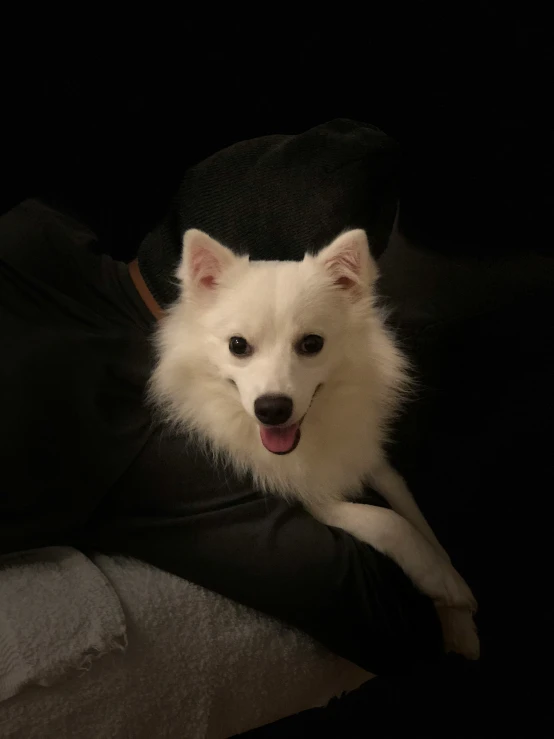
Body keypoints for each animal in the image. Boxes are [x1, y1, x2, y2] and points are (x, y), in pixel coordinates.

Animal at [151, 228, 478, 660]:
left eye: (311, 344)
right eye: (238, 345)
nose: (272, 409)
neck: (315, 430)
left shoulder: (372, 461)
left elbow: (419, 520)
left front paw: (458, 616)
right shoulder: (309, 496)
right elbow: (388, 522)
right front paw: (442, 582)